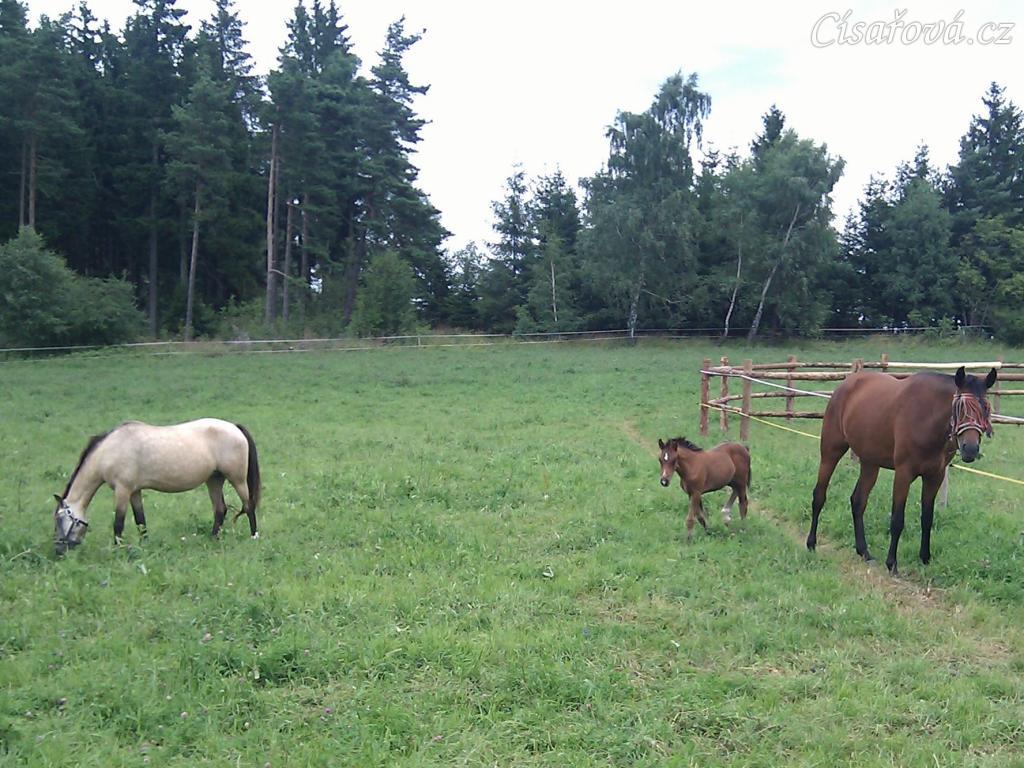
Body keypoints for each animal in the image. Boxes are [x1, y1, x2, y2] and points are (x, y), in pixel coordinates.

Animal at [53, 418, 261, 555]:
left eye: (59, 518)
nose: (58, 550)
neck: (111, 450)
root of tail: (234, 427)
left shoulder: (122, 490)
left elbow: (118, 523)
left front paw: (118, 550)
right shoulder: (134, 491)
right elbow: (140, 520)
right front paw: (144, 545)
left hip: (237, 479)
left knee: (248, 505)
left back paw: (254, 536)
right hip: (214, 480)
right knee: (220, 509)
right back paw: (213, 539)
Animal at [806, 365, 996, 575]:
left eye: (986, 407)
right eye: (960, 407)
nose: (970, 449)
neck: (927, 418)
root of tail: (845, 384)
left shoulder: (935, 476)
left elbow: (927, 518)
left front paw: (925, 558)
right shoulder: (904, 473)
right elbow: (897, 519)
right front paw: (892, 563)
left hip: (870, 464)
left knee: (858, 501)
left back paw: (864, 552)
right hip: (831, 451)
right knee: (819, 496)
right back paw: (811, 543)